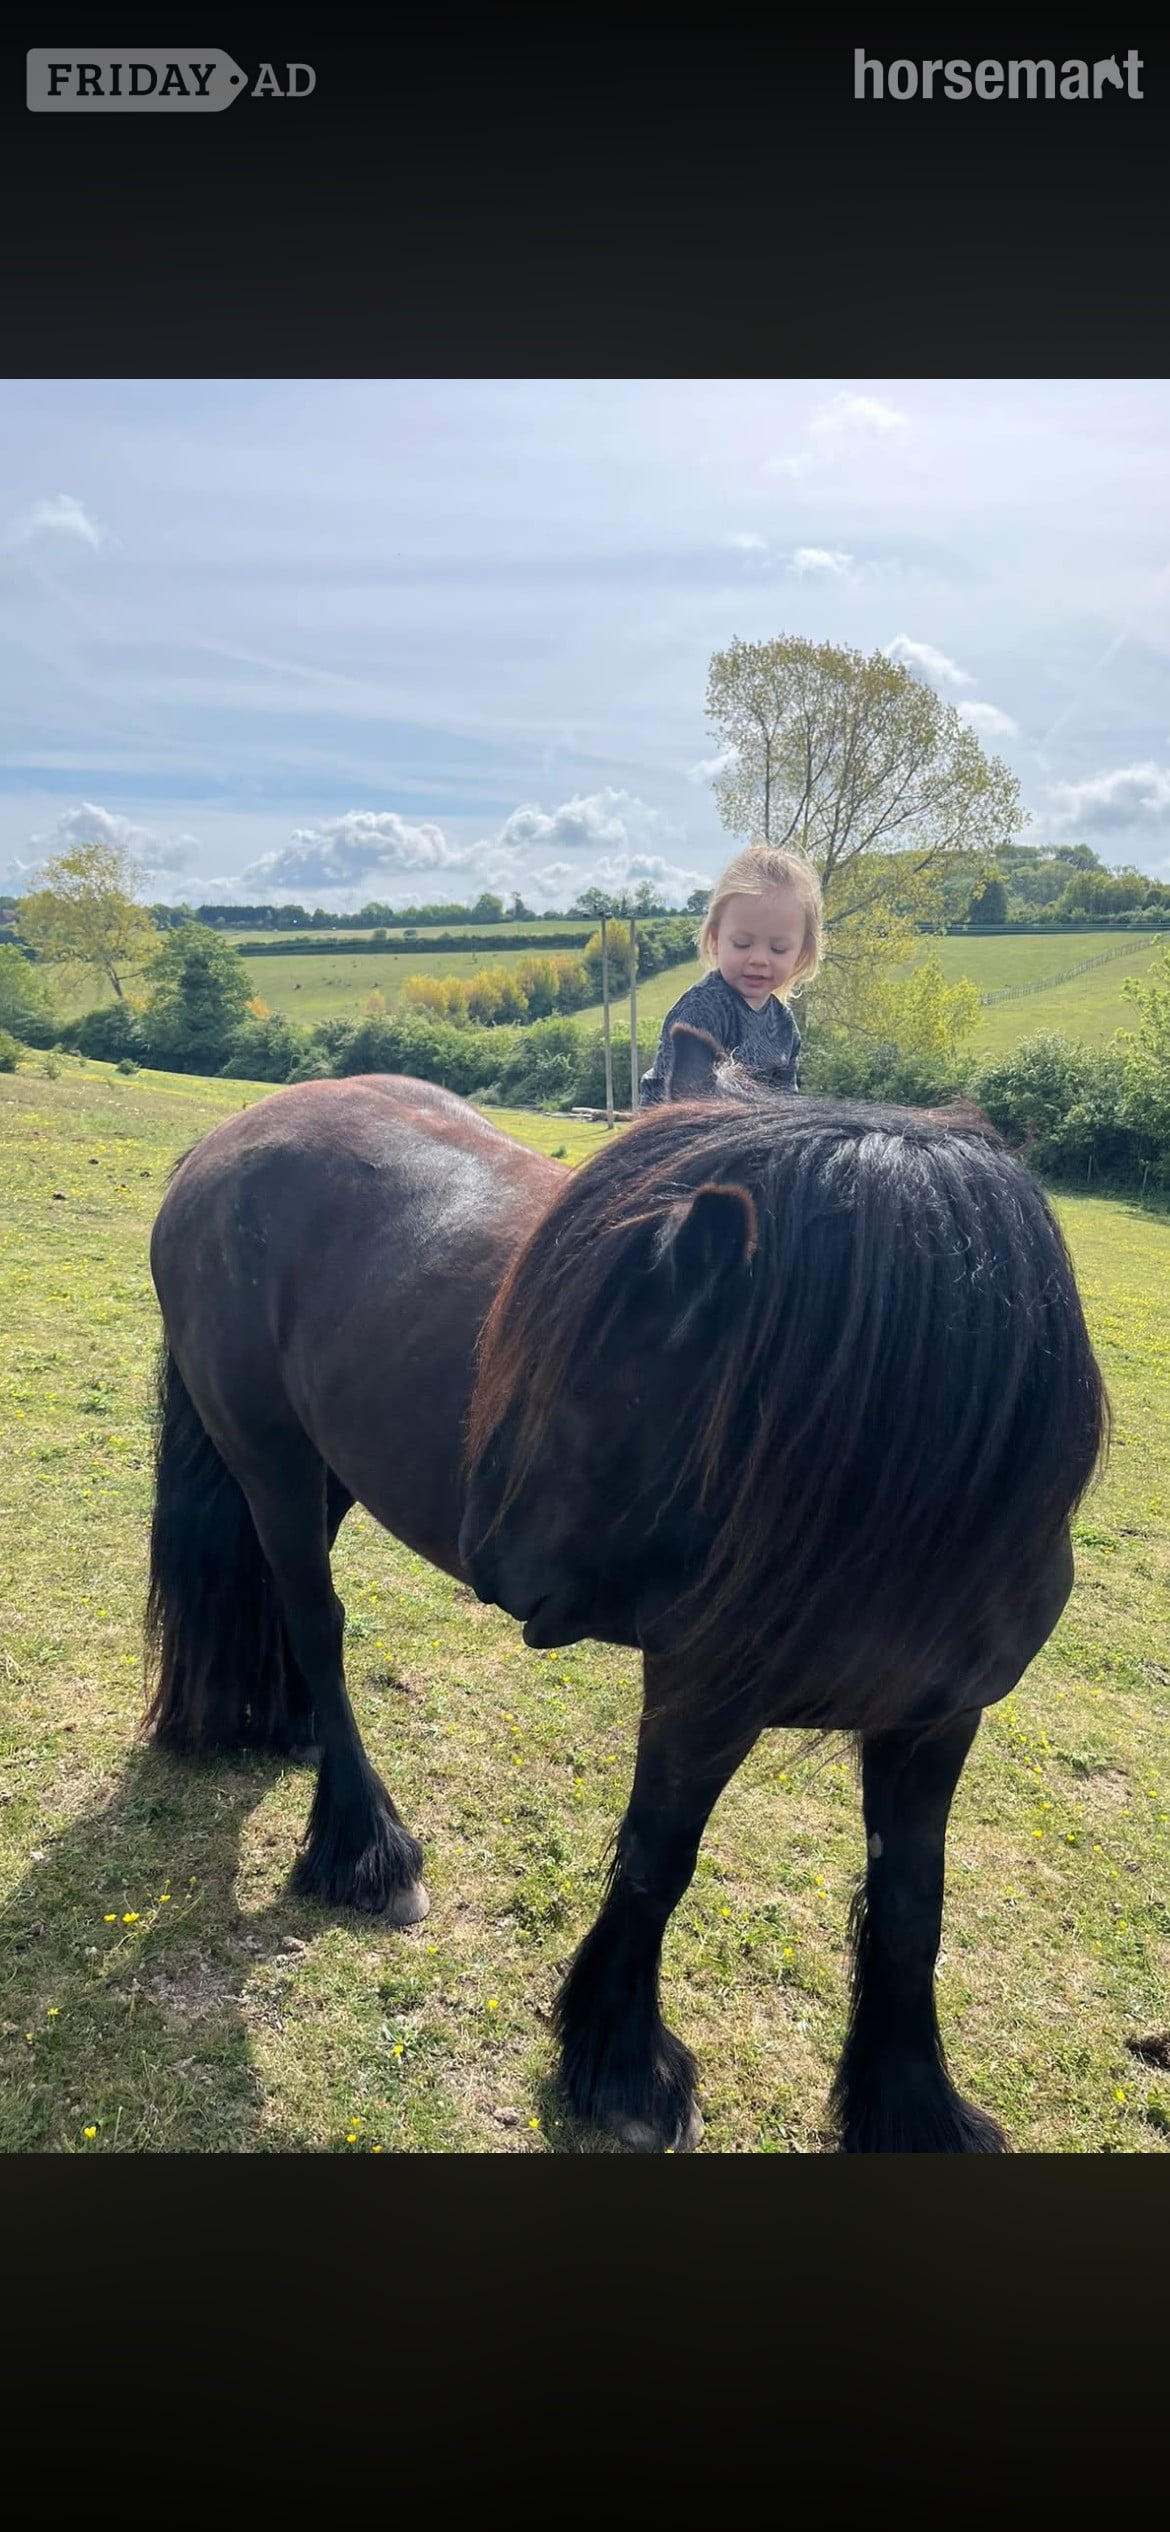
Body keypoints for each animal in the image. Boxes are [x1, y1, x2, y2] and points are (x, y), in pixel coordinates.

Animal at [144, 1022, 1108, 2151]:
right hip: (274, 1462)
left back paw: (284, 1728)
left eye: (611, 1372)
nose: (492, 1554)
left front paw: (912, 2104)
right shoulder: (700, 1696)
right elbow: (657, 1862)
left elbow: (914, 1904)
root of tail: (229, 1140)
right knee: (316, 1623)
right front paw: (623, 2073)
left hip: (327, 1468)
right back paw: (366, 1851)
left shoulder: (940, 1721)